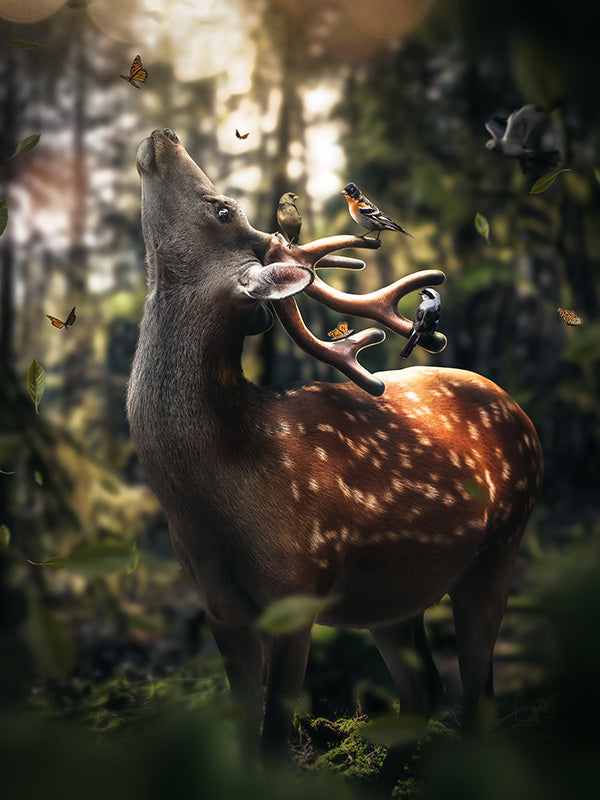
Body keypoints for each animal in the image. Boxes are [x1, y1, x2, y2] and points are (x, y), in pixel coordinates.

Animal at [127, 128, 544, 755]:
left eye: (222, 210)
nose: (163, 135)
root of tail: (522, 414)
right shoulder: (219, 609)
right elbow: (244, 735)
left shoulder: (296, 595)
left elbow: (274, 738)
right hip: (394, 594)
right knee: (425, 691)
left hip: (501, 546)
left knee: (477, 692)